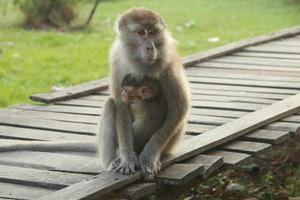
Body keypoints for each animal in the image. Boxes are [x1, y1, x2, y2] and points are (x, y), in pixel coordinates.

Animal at [100, 7, 190, 178]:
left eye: (153, 32)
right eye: (141, 32)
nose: (150, 47)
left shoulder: (168, 60)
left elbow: (179, 106)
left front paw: (149, 156)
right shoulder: (116, 60)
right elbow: (120, 105)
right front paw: (127, 158)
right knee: (110, 104)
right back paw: (114, 159)